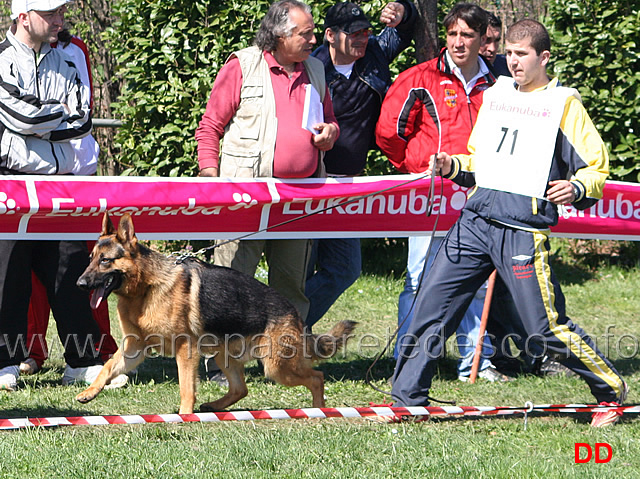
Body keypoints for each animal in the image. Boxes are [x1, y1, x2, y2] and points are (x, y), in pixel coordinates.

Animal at [77, 213, 358, 412]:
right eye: (91, 259)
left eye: (105, 261)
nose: (79, 283)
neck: (146, 287)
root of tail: (295, 313)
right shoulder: (134, 349)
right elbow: (108, 367)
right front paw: (90, 392)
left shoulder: (185, 350)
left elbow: (186, 387)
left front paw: (184, 416)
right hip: (226, 356)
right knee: (241, 389)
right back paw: (214, 406)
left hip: (276, 367)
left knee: (317, 377)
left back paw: (318, 410)